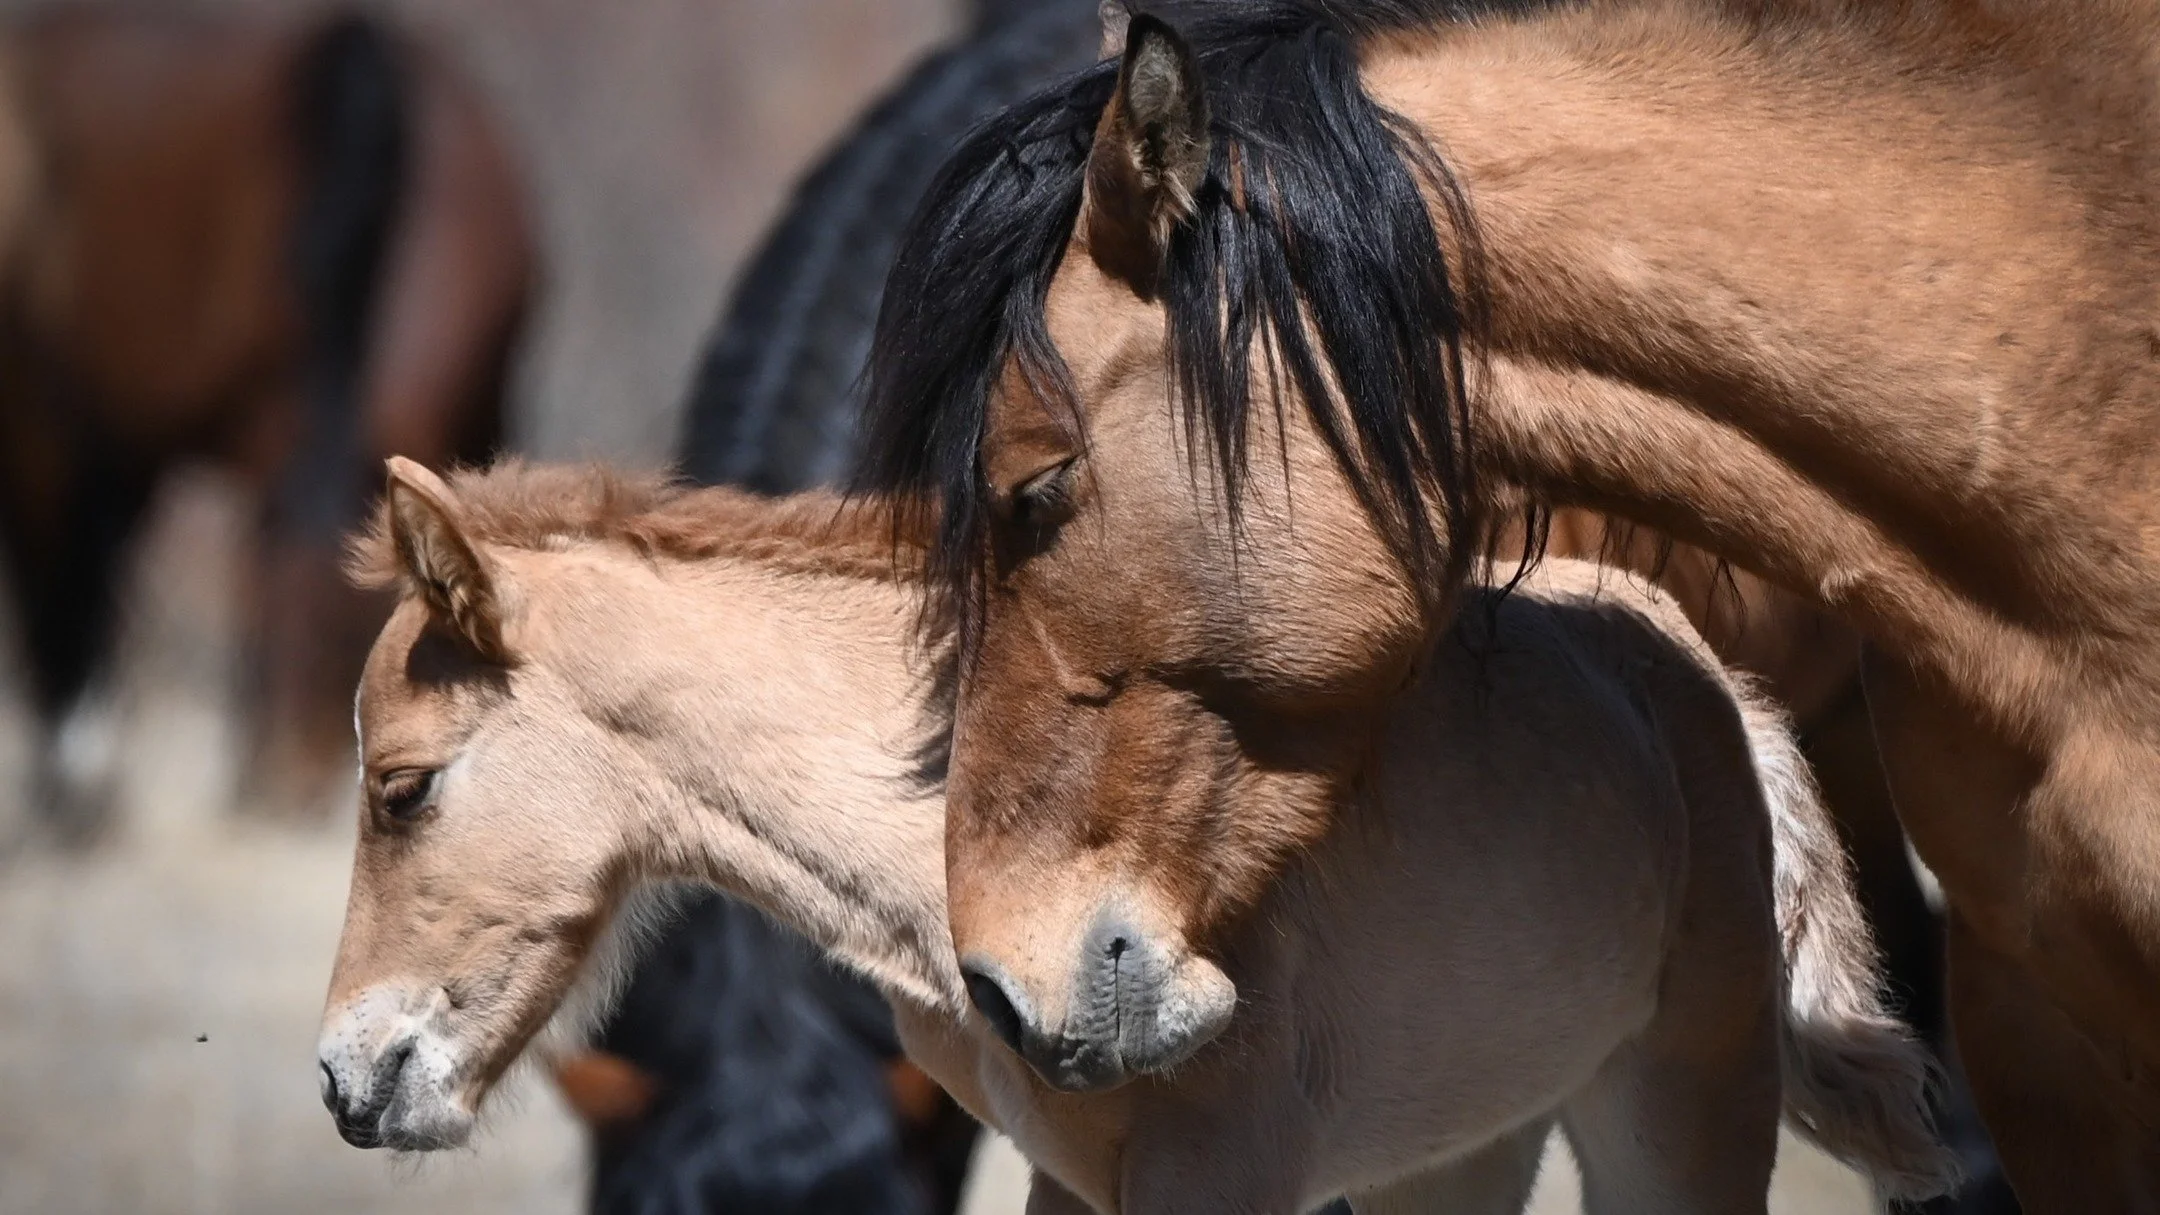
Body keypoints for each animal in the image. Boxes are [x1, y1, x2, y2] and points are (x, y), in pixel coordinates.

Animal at [315, 457, 1953, 1212]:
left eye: (402, 786)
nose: (344, 1078)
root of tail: (1701, 679)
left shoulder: (1218, 1172)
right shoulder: (1070, 1170)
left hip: (1681, 1102)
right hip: (1465, 1142)